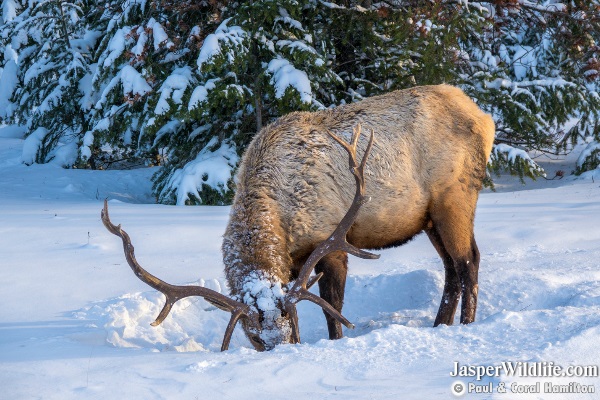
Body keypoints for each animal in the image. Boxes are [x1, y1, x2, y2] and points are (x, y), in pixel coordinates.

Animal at [103, 83, 494, 350]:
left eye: (289, 326)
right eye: (255, 338)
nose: (282, 350)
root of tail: (485, 118)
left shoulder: (331, 242)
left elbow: (332, 308)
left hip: (454, 198)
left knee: (468, 262)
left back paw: (466, 326)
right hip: (428, 218)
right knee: (450, 268)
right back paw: (440, 325)